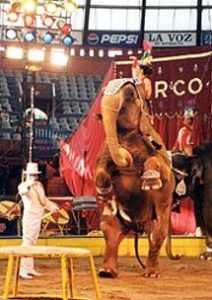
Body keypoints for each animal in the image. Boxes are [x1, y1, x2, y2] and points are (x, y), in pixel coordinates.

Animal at [95, 78, 175, 278]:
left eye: (130, 93)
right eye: (103, 92)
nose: (126, 154)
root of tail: (137, 228)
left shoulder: (156, 146)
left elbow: (159, 165)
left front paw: (151, 183)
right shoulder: (105, 149)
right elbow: (100, 167)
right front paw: (104, 193)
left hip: (161, 213)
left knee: (157, 233)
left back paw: (151, 273)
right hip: (115, 217)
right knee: (109, 230)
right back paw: (106, 272)